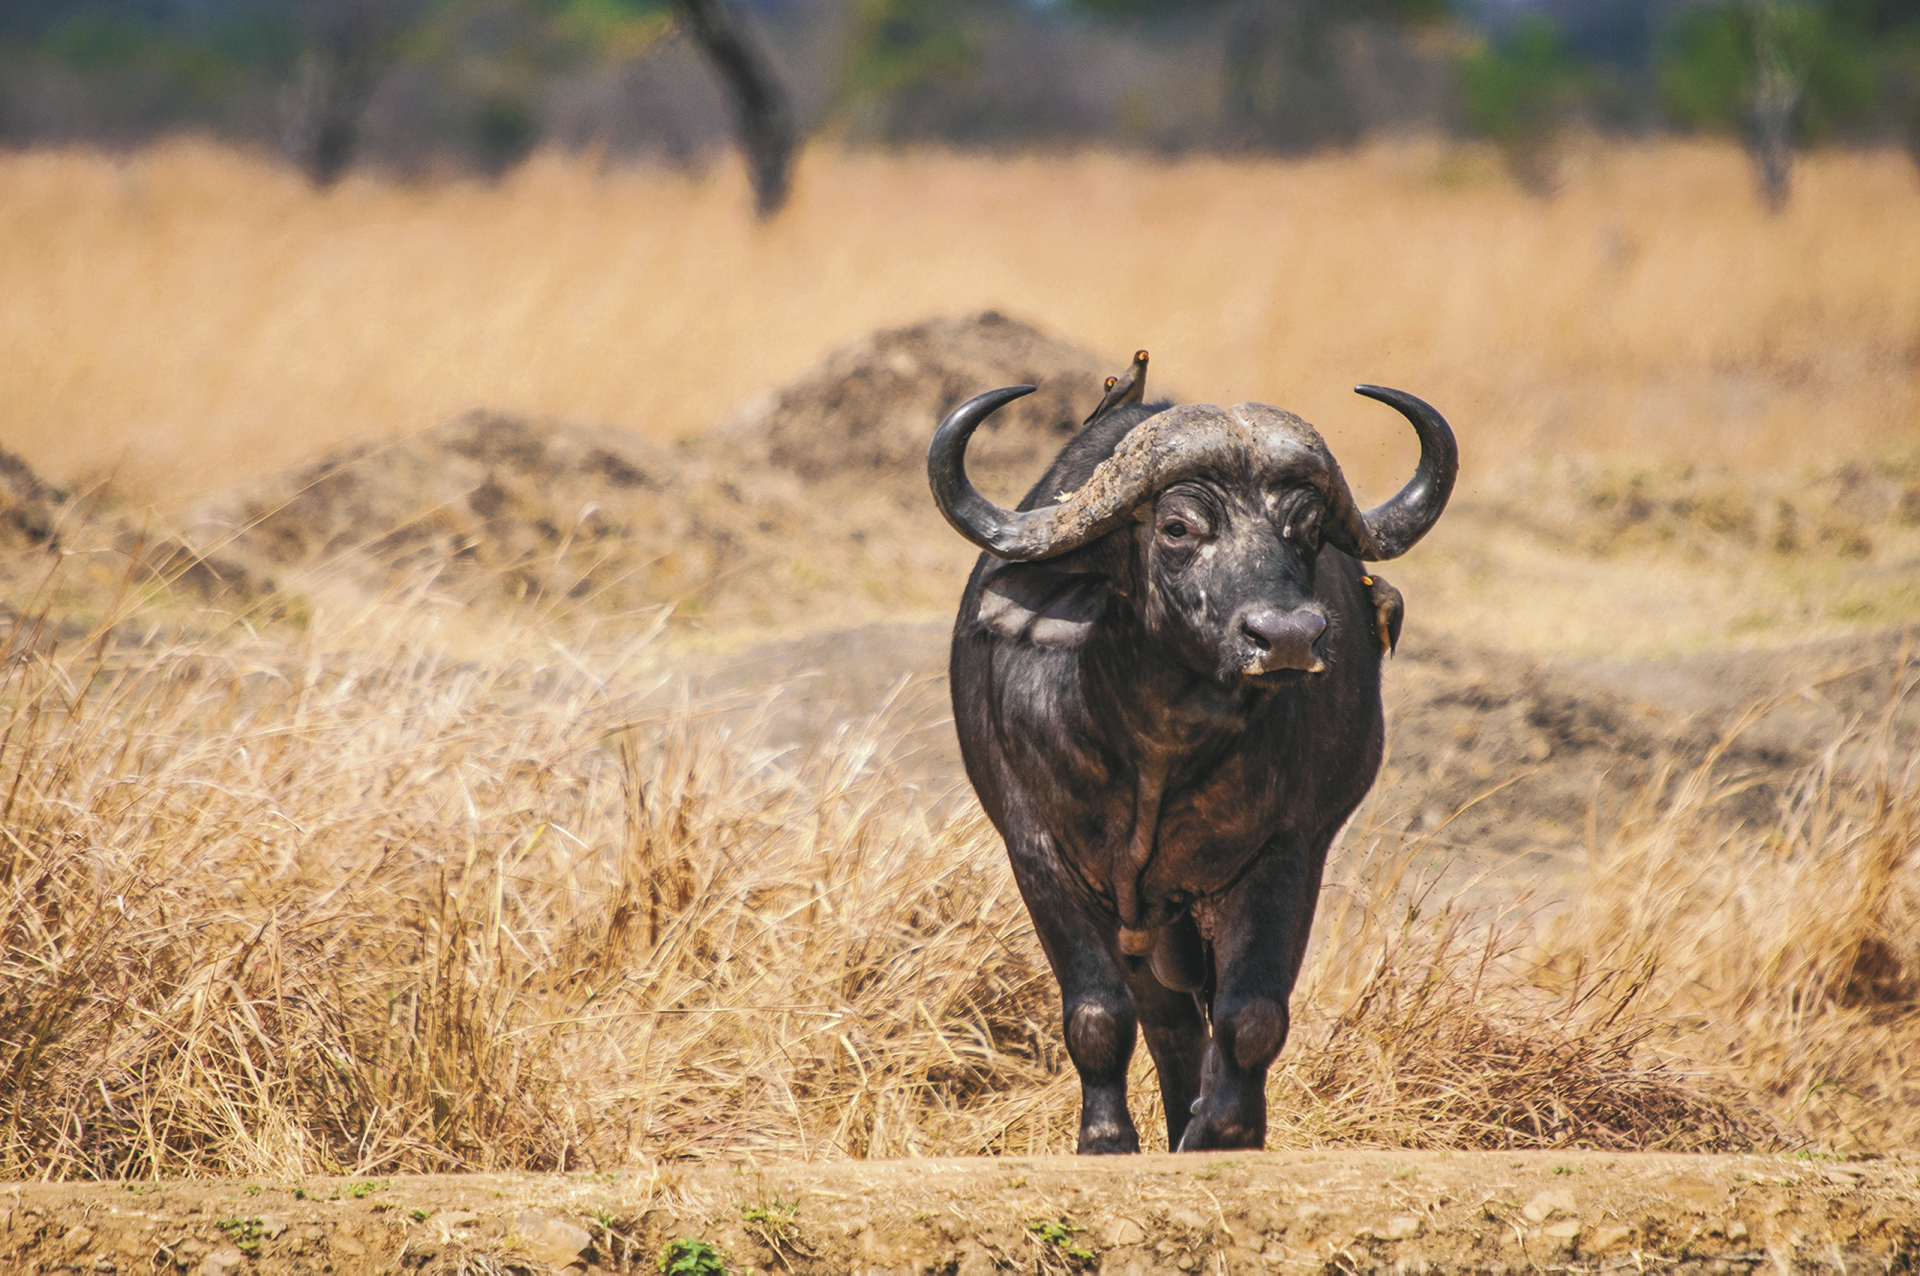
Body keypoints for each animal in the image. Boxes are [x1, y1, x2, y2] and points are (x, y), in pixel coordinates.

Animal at [928, 352, 1456, 1153]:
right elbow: (1096, 1015)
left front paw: (1223, 1130)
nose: (1288, 636)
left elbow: (1253, 1015)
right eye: (1178, 527)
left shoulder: (1286, 849)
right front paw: (1106, 1138)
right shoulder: (1037, 850)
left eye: (1306, 532)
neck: (1158, 742)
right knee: (1168, 1024)